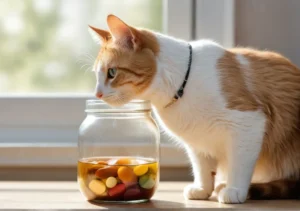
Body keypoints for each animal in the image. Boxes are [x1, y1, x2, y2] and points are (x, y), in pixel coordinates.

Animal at [88, 14, 300, 203]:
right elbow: (201, 166)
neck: (182, 86)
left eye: (112, 72)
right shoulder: (197, 138)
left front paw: (234, 189)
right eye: (96, 75)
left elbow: (239, 164)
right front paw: (203, 188)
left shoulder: (248, 124)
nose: (97, 94)